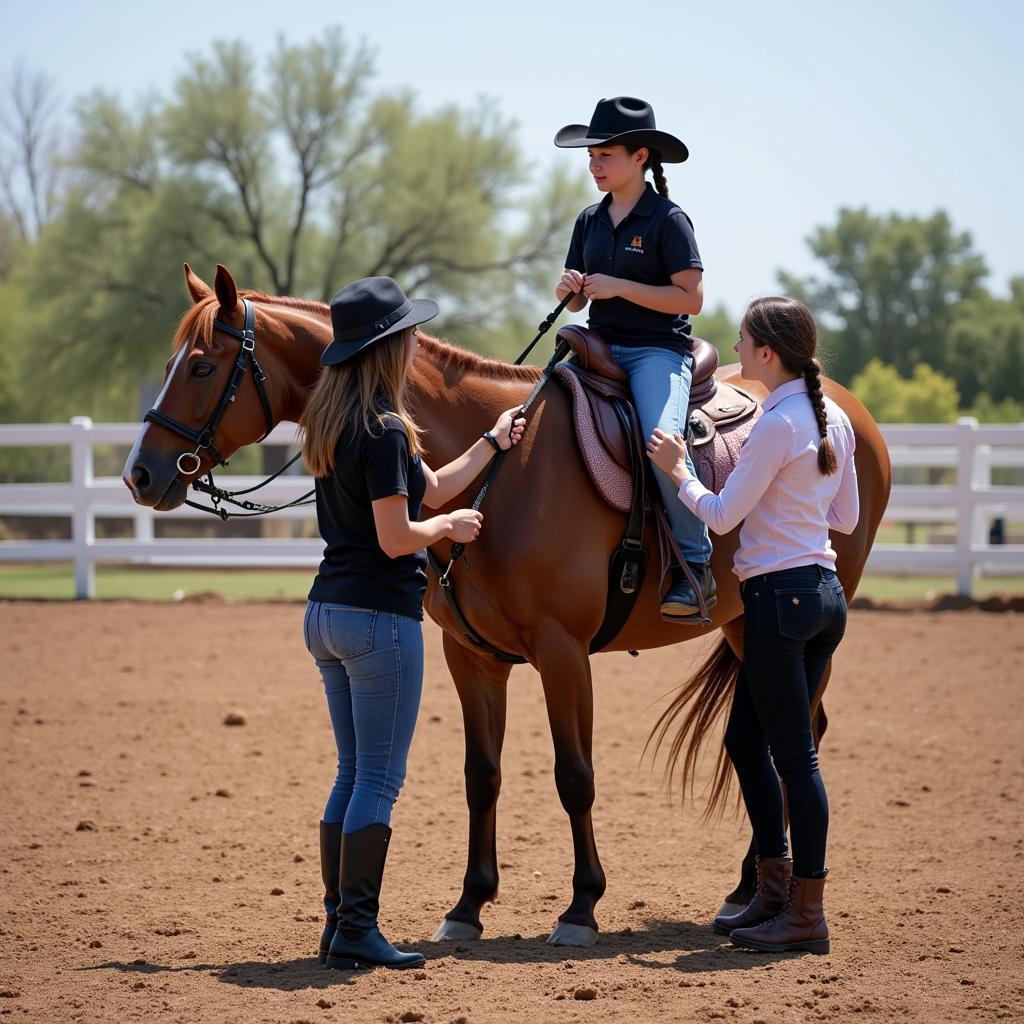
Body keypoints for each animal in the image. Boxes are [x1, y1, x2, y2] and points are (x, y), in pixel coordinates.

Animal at [123, 264, 892, 942]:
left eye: (200, 366)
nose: (140, 474)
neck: (505, 470)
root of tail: (849, 409)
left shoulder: (563, 653)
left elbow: (574, 777)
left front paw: (581, 908)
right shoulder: (471, 657)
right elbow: (481, 776)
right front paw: (469, 905)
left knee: (800, 736)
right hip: (741, 626)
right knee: (763, 742)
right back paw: (743, 892)